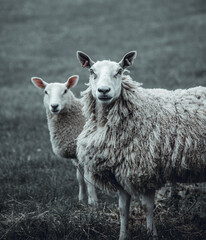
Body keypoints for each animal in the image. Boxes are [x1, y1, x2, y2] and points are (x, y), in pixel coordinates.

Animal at [30, 75, 98, 206]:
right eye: (46, 92)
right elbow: (80, 178)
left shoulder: (86, 152)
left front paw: (93, 202)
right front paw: (81, 199)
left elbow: (88, 179)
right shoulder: (76, 155)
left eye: (65, 91)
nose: (54, 106)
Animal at [76, 51, 206, 240]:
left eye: (119, 71)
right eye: (92, 71)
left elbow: (147, 207)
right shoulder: (119, 173)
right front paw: (123, 236)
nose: (103, 91)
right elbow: (123, 209)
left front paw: (152, 234)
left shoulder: (145, 171)